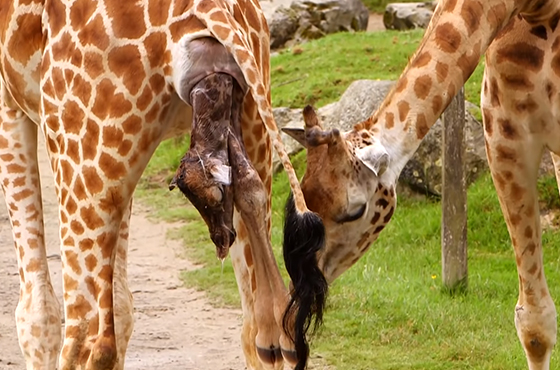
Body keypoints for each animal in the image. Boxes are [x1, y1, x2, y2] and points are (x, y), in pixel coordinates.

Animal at [0, 0, 324, 370]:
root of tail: (214, 8)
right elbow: (121, 306)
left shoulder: (8, 104)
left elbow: (37, 316)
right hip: (252, 114)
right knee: (257, 327)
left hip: (79, 145)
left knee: (85, 338)